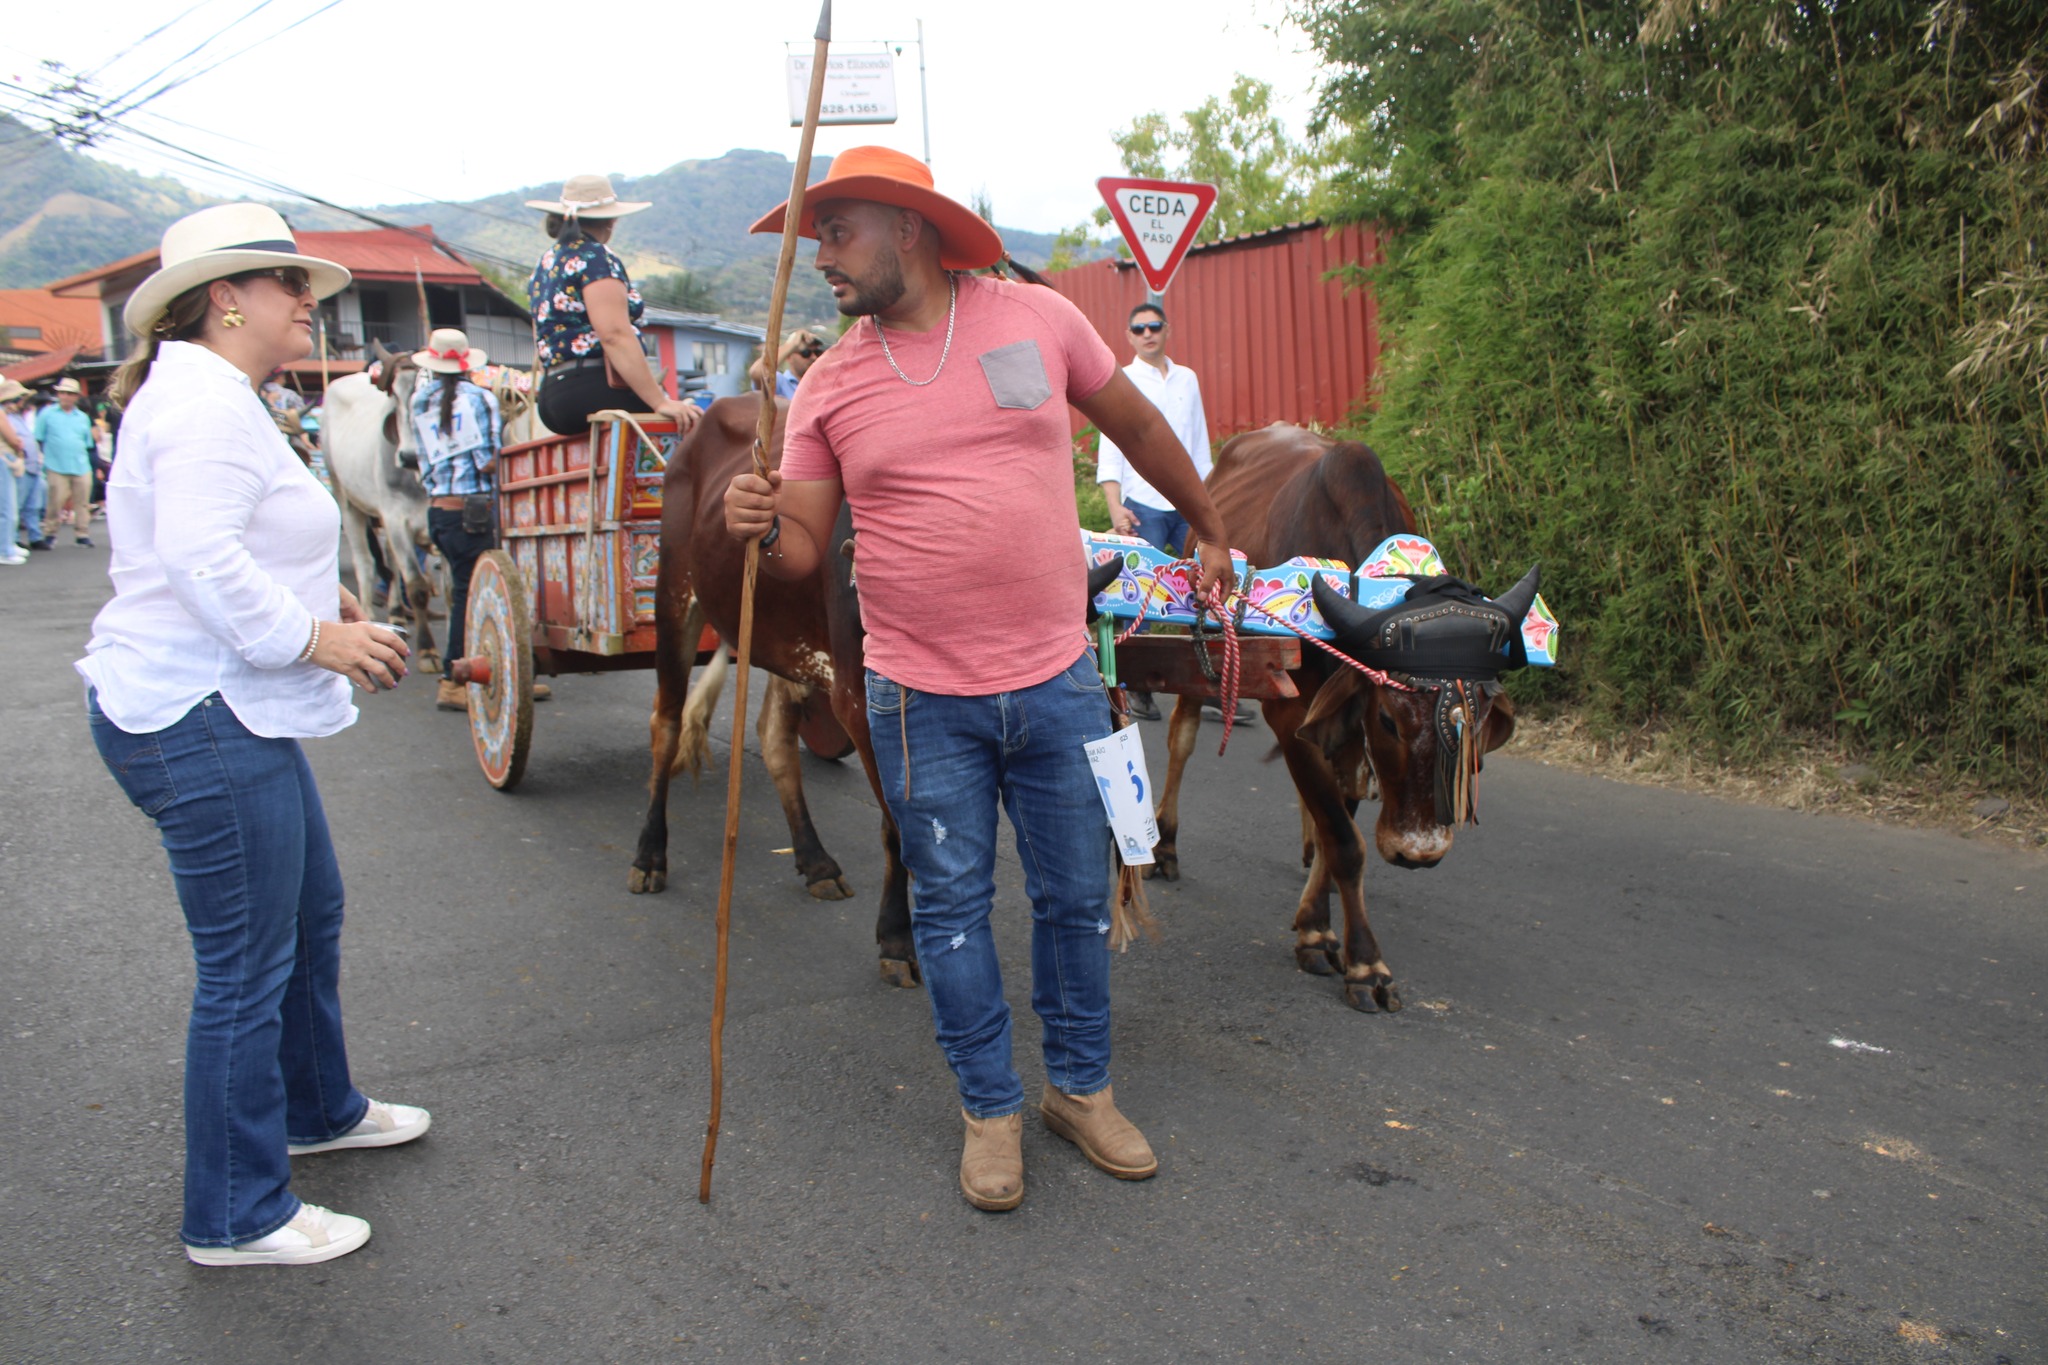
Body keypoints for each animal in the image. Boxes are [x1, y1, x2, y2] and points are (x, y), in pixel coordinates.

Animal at [1148, 423, 1533, 1014]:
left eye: (1479, 720)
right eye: (1392, 722)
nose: (1420, 853)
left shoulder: (1346, 721)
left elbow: (1339, 822)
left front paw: (1317, 929)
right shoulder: (1291, 713)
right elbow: (1346, 841)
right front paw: (1365, 965)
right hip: (1204, 647)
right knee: (1182, 740)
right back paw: (1164, 845)